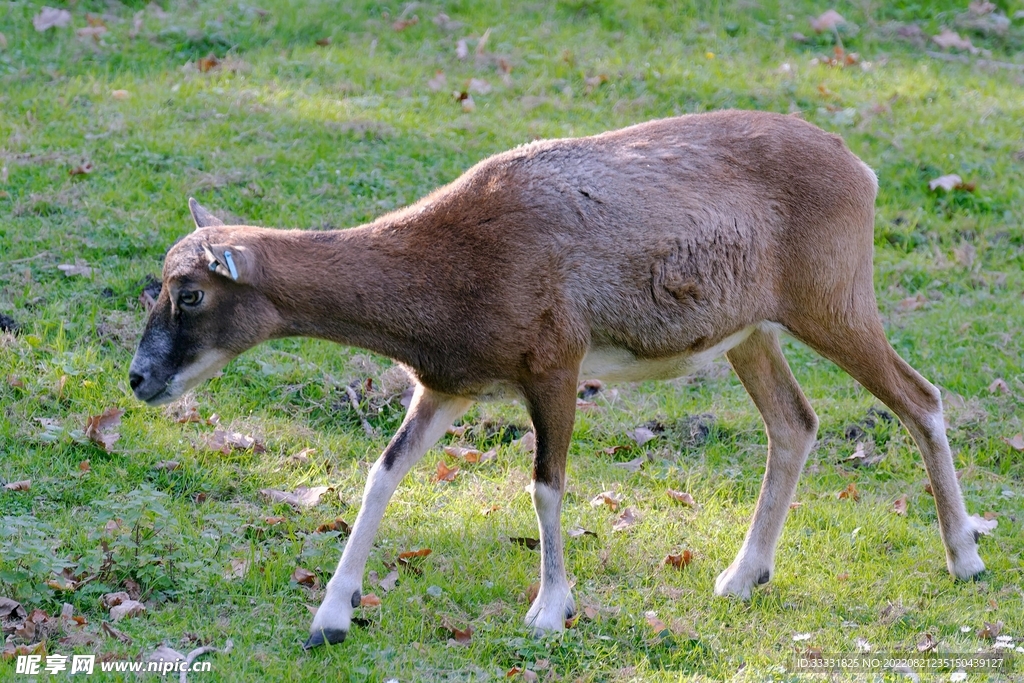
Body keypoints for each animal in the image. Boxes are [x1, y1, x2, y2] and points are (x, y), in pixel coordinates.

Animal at [128, 110, 987, 650]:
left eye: (190, 293)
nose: (140, 380)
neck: (453, 257)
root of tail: (858, 167)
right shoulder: (448, 387)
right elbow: (383, 473)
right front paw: (330, 618)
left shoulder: (555, 369)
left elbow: (545, 485)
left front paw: (548, 610)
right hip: (753, 336)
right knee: (795, 423)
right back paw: (742, 577)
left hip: (833, 307)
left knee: (920, 399)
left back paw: (966, 560)